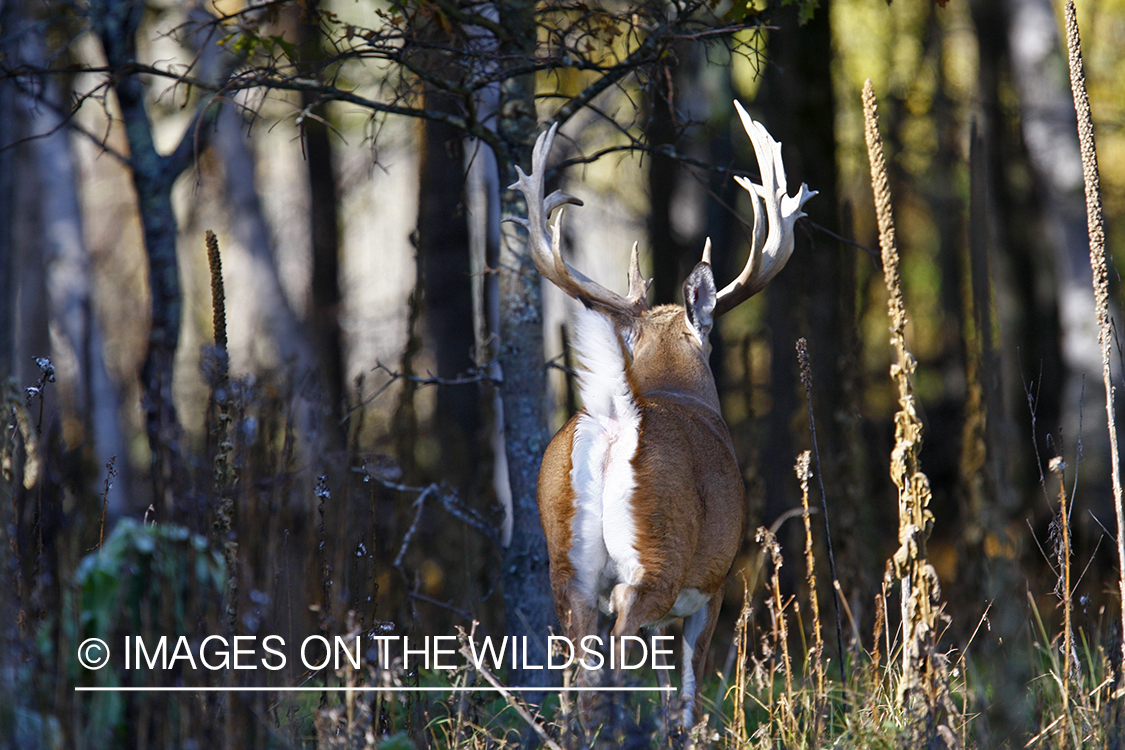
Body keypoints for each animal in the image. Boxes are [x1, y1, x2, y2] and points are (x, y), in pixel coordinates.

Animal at [506, 101, 814, 733]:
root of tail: (617, 418)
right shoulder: (712, 587)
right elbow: (687, 688)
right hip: (661, 552)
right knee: (620, 636)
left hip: (566, 565)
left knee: (581, 668)